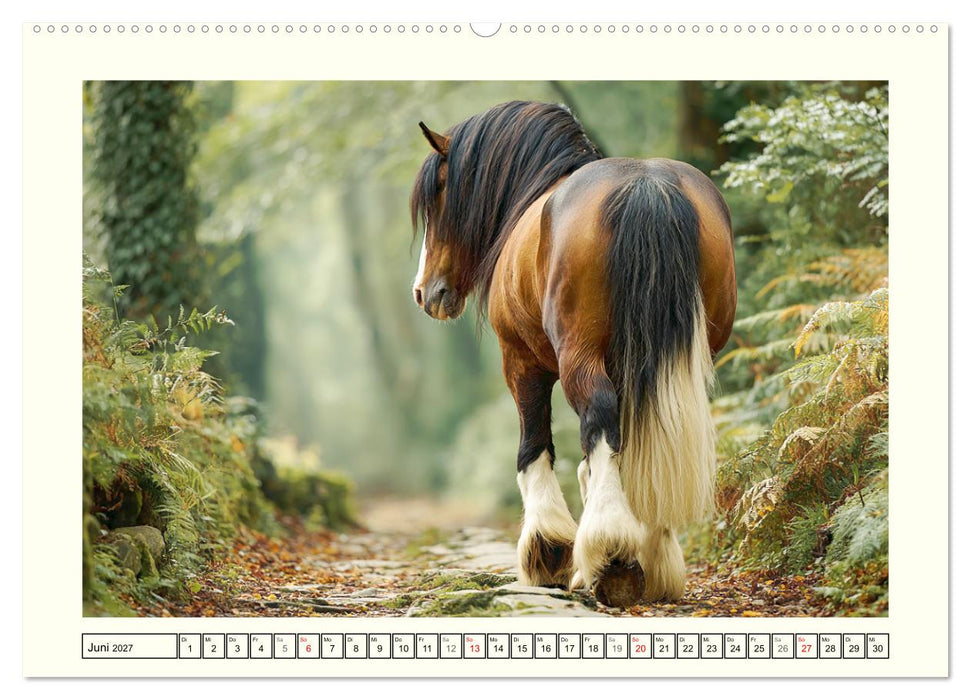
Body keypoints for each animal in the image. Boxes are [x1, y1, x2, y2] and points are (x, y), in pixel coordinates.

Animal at [410, 100, 736, 607]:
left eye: (441, 193)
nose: (425, 292)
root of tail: (647, 185)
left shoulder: (521, 361)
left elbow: (534, 447)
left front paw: (548, 550)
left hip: (577, 354)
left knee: (598, 416)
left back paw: (612, 551)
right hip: (676, 360)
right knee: (656, 428)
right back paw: (651, 557)